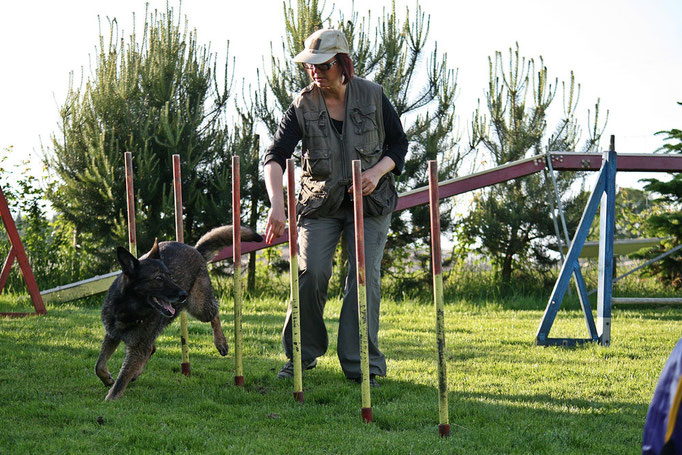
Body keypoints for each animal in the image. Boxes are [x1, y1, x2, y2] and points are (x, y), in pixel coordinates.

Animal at [95, 226, 262, 400]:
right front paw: (107, 379)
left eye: (170, 276)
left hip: (199, 306)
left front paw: (110, 400)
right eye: (158, 278)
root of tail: (195, 250)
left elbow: (121, 380)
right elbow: (99, 365)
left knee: (214, 312)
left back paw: (221, 342)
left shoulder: (136, 347)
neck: (129, 310)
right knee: (151, 348)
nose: (183, 295)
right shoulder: (112, 335)